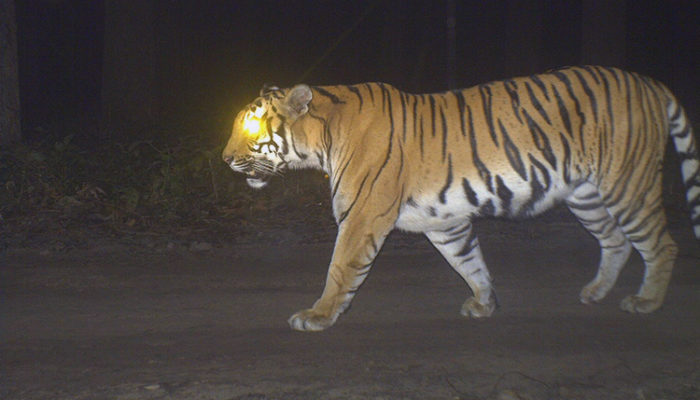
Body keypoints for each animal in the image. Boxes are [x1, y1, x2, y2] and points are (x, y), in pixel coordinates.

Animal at [222, 66, 700, 332]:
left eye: (251, 128)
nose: (225, 159)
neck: (322, 141)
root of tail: (650, 83)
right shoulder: (444, 221)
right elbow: (469, 262)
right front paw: (486, 304)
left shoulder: (362, 216)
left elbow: (340, 270)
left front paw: (317, 317)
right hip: (586, 195)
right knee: (616, 241)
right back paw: (596, 292)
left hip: (628, 184)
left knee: (662, 244)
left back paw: (646, 301)